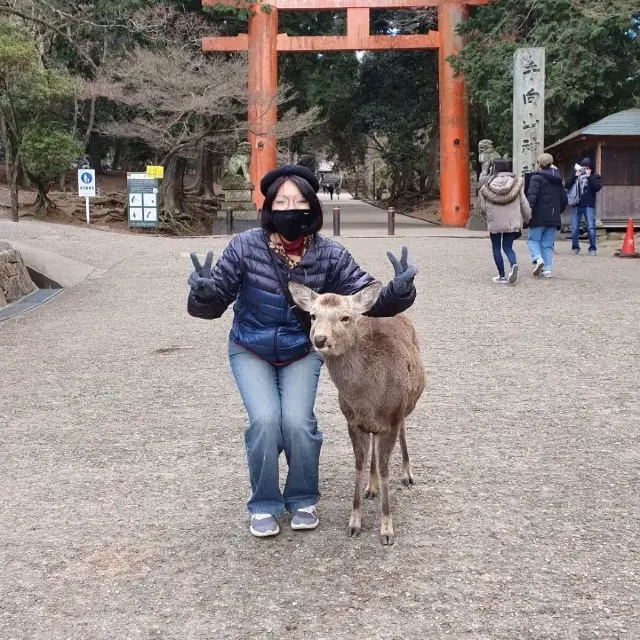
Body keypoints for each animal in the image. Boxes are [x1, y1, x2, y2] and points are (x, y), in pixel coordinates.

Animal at [290, 282, 424, 544]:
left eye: (345, 317)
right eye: (313, 315)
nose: (319, 339)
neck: (368, 398)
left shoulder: (392, 418)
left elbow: (385, 469)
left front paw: (386, 529)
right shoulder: (352, 421)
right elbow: (359, 464)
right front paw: (354, 523)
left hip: (405, 407)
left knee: (404, 431)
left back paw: (407, 474)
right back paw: (370, 487)